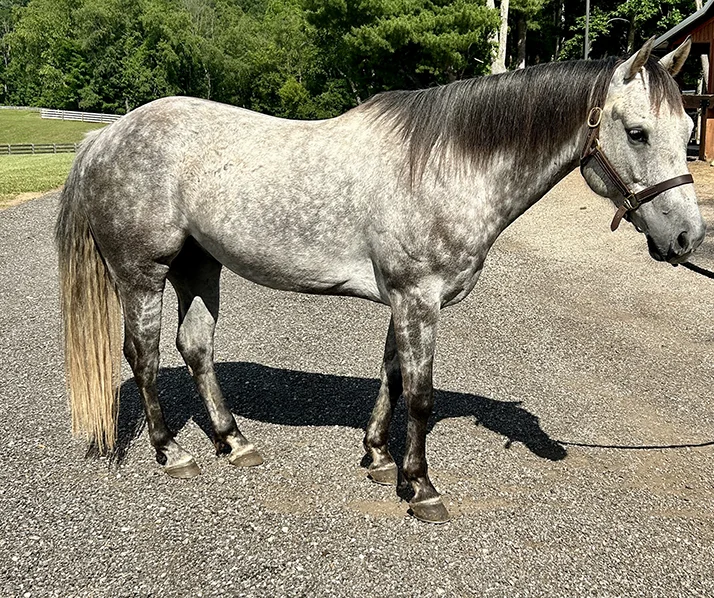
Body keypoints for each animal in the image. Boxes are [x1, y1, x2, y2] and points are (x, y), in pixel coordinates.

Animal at [55, 38, 705, 523]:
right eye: (638, 132)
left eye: (687, 130)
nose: (687, 238)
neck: (445, 166)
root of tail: (103, 137)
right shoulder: (418, 298)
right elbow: (419, 394)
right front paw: (421, 488)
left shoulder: (406, 300)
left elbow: (392, 376)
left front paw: (378, 457)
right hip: (143, 273)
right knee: (143, 354)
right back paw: (171, 452)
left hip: (198, 266)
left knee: (195, 348)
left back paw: (233, 442)